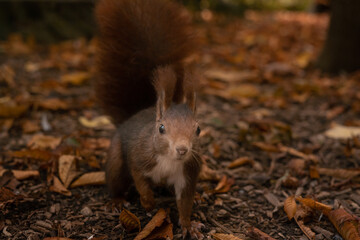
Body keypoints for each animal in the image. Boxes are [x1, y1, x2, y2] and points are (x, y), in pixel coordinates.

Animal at [95, 0, 202, 238]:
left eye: (198, 129)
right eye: (161, 128)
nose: (182, 149)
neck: (170, 161)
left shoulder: (187, 174)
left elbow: (185, 203)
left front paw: (189, 225)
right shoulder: (139, 157)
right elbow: (140, 181)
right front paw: (148, 203)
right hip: (116, 158)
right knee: (115, 179)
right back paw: (117, 201)